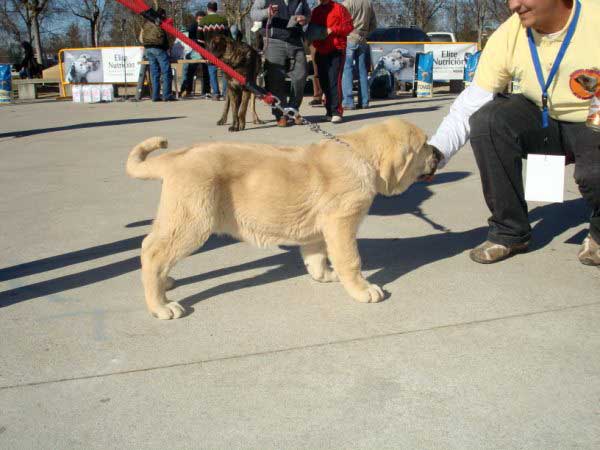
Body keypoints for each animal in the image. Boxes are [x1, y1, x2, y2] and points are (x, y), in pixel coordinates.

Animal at [126, 118, 440, 318]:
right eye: (425, 145)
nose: (438, 152)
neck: (361, 155)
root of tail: (174, 158)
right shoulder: (342, 222)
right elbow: (351, 260)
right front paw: (362, 290)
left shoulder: (319, 229)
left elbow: (316, 256)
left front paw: (324, 275)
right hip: (192, 221)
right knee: (153, 252)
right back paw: (161, 306)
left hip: (178, 218)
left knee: (152, 247)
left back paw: (165, 283)